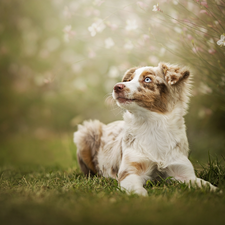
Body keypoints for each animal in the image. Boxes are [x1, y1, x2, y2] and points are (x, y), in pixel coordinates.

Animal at [74, 62, 218, 195]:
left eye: (147, 79)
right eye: (128, 80)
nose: (117, 86)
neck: (152, 125)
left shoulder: (183, 172)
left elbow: (205, 184)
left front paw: (215, 190)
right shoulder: (130, 172)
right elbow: (136, 190)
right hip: (86, 131)